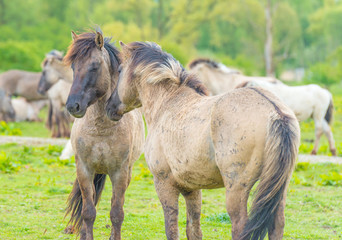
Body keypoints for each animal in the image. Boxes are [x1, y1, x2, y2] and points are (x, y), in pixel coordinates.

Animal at [63, 30, 144, 240]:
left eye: (94, 66)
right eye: (73, 66)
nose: (73, 106)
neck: (101, 130)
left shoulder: (120, 173)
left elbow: (116, 213)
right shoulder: (84, 170)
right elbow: (88, 211)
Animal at [106, 41, 300, 240]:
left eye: (120, 70)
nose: (109, 106)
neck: (168, 104)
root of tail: (275, 112)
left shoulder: (164, 183)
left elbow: (171, 229)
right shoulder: (191, 189)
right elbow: (194, 229)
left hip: (237, 189)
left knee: (240, 226)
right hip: (278, 189)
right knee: (277, 225)